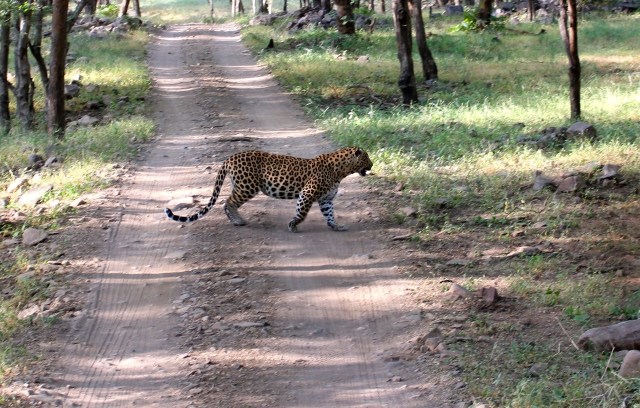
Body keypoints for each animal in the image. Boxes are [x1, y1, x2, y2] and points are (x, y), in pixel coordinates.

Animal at [164, 146, 373, 232]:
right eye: (367, 158)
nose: (372, 164)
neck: (341, 171)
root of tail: (230, 158)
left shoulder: (326, 199)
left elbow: (329, 214)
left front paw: (336, 226)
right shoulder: (308, 193)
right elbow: (302, 212)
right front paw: (293, 225)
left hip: (242, 186)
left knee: (227, 202)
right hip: (247, 187)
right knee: (228, 202)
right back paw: (238, 221)